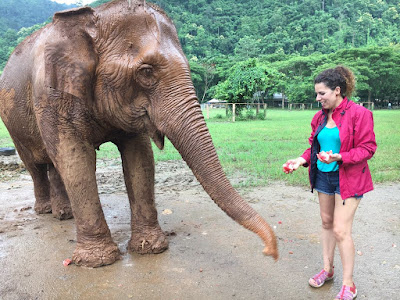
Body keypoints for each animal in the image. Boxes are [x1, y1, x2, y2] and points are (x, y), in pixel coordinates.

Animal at [0, 0, 278, 268]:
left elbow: (140, 157)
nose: (271, 252)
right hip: (13, 124)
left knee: (54, 164)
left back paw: (64, 214)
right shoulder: (52, 94)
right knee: (36, 164)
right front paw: (98, 262)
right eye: (146, 71)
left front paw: (149, 248)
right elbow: (75, 158)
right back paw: (45, 210)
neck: (94, 18)